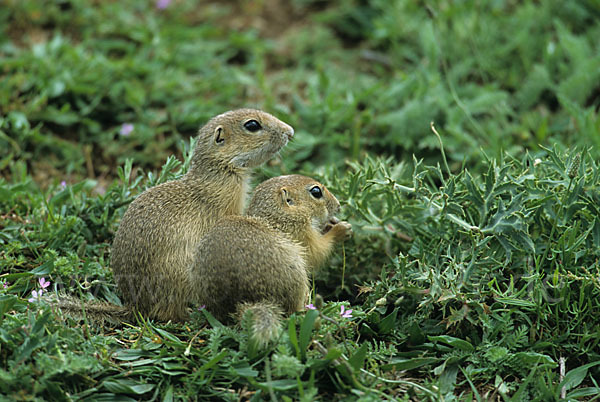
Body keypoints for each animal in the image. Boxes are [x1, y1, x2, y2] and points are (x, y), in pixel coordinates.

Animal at [192, 174, 352, 344]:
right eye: (316, 192)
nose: (338, 205)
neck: (277, 216)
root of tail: (243, 301)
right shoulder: (300, 231)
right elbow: (316, 251)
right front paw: (341, 229)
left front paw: (333, 223)